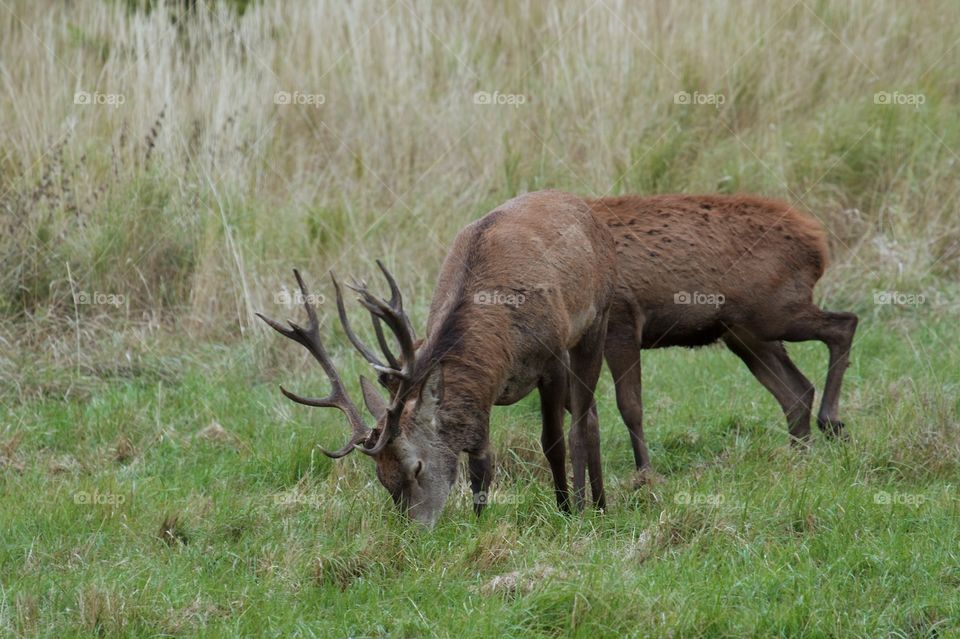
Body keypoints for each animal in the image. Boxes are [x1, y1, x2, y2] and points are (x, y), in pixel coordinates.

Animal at [256, 189, 616, 524]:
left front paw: (566, 510)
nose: (414, 529)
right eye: (381, 479)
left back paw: (593, 504)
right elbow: (481, 466)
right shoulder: (477, 394)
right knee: (592, 412)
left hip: (595, 321)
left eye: (416, 467)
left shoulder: (552, 357)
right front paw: (478, 521)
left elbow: (552, 441)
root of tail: (580, 203)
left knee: (584, 419)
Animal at [584, 192, 864, 478]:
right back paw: (800, 457)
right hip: (746, 333)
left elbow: (630, 405)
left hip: (773, 314)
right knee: (797, 390)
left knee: (844, 324)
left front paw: (646, 474)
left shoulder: (623, 320)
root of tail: (817, 243)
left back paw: (831, 424)